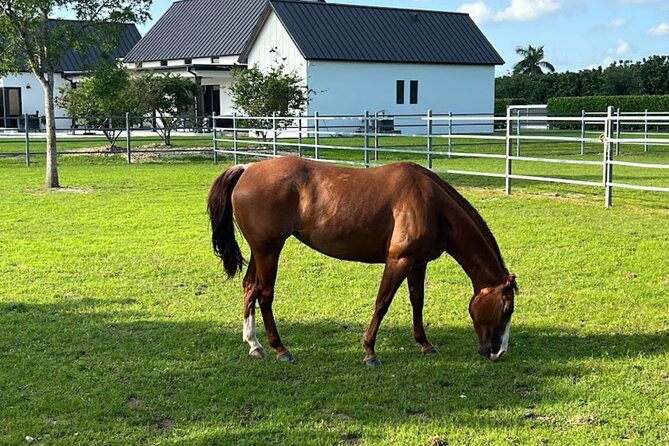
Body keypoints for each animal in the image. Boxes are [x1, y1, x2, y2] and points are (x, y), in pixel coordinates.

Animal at [208, 156, 517, 367]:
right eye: (506, 309)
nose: (498, 352)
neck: (432, 205)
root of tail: (247, 168)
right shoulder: (399, 261)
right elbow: (382, 303)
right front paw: (369, 352)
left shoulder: (418, 263)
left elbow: (417, 301)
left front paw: (425, 344)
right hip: (269, 251)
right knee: (265, 294)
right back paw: (280, 349)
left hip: (261, 251)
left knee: (250, 288)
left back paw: (254, 344)